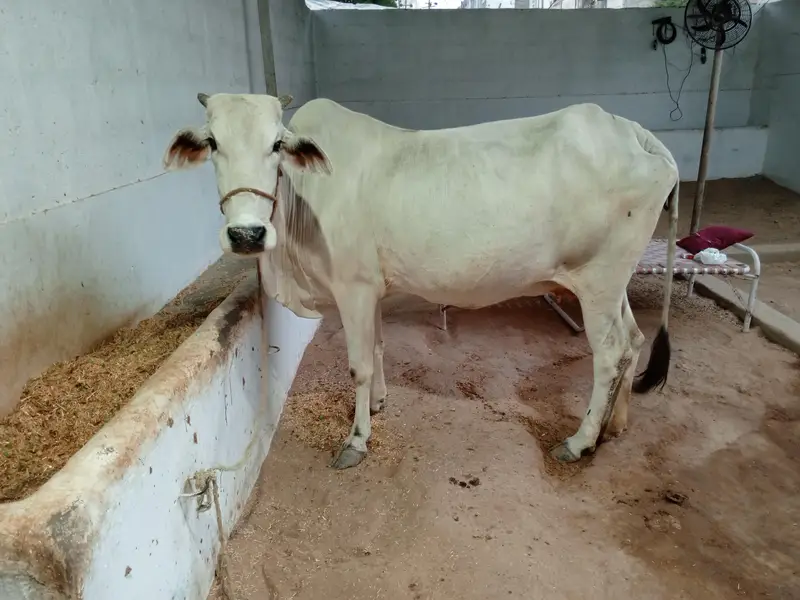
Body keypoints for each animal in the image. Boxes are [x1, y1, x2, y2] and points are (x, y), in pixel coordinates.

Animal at [163, 92, 679, 471]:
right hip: (612, 284)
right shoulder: (372, 288)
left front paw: (356, 440)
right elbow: (377, 347)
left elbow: (358, 364)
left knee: (610, 353)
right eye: (213, 143)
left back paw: (580, 441)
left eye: (276, 144)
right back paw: (615, 424)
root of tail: (630, 131)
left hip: (597, 281)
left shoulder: (352, 287)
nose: (246, 234)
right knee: (634, 340)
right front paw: (376, 404)